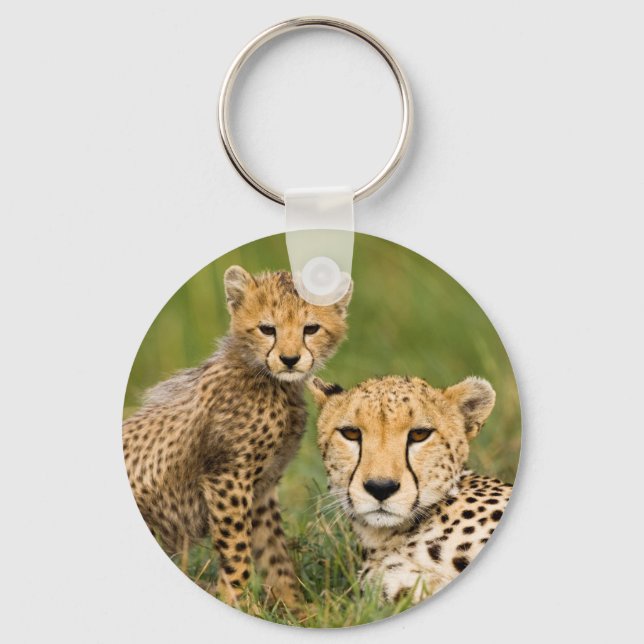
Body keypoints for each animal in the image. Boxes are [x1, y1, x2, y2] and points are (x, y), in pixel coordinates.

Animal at [122, 265, 351, 609]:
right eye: (267, 329)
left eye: (311, 328)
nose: (290, 359)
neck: (270, 382)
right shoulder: (228, 479)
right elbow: (237, 550)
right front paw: (239, 602)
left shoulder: (261, 487)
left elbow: (274, 553)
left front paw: (296, 607)